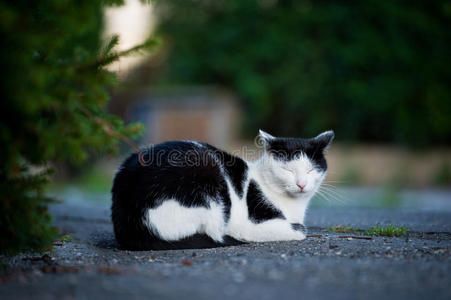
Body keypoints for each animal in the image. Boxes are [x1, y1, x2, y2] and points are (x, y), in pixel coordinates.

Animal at [111, 130, 334, 250]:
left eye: (311, 169)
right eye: (288, 170)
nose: (301, 184)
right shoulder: (249, 224)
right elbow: (300, 230)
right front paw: (298, 229)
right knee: (213, 232)